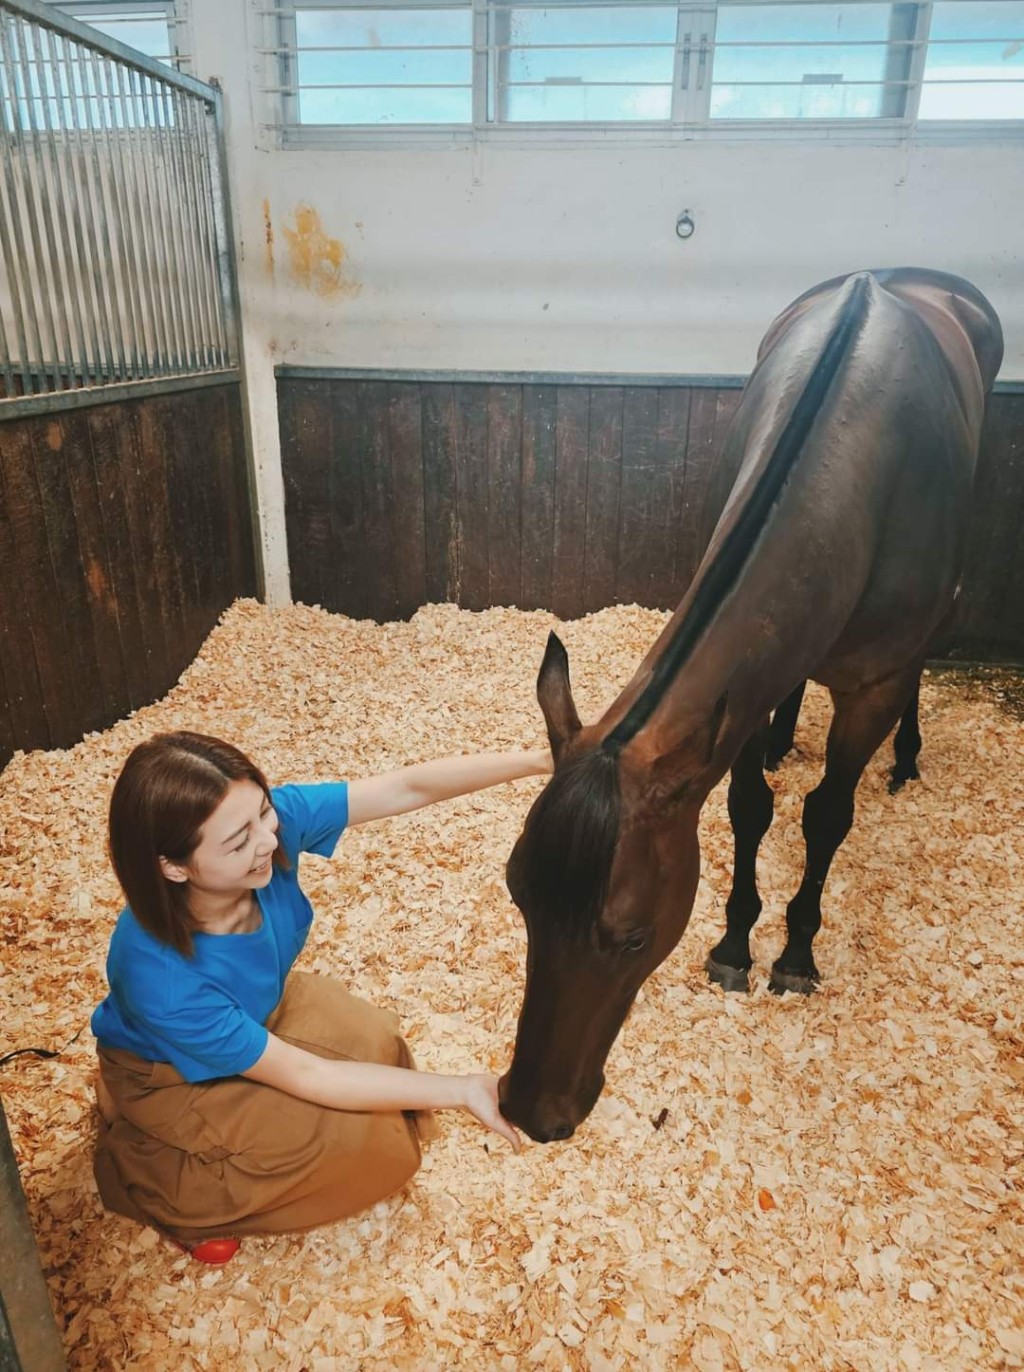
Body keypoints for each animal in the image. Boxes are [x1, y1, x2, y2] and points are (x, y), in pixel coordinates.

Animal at [499, 262, 999, 1141]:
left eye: (632, 937)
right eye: (516, 892)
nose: (532, 1110)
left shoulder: (869, 690)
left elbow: (826, 815)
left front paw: (794, 954)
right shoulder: (742, 698)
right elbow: (748, 808)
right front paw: (735, 942)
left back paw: (905, 758)